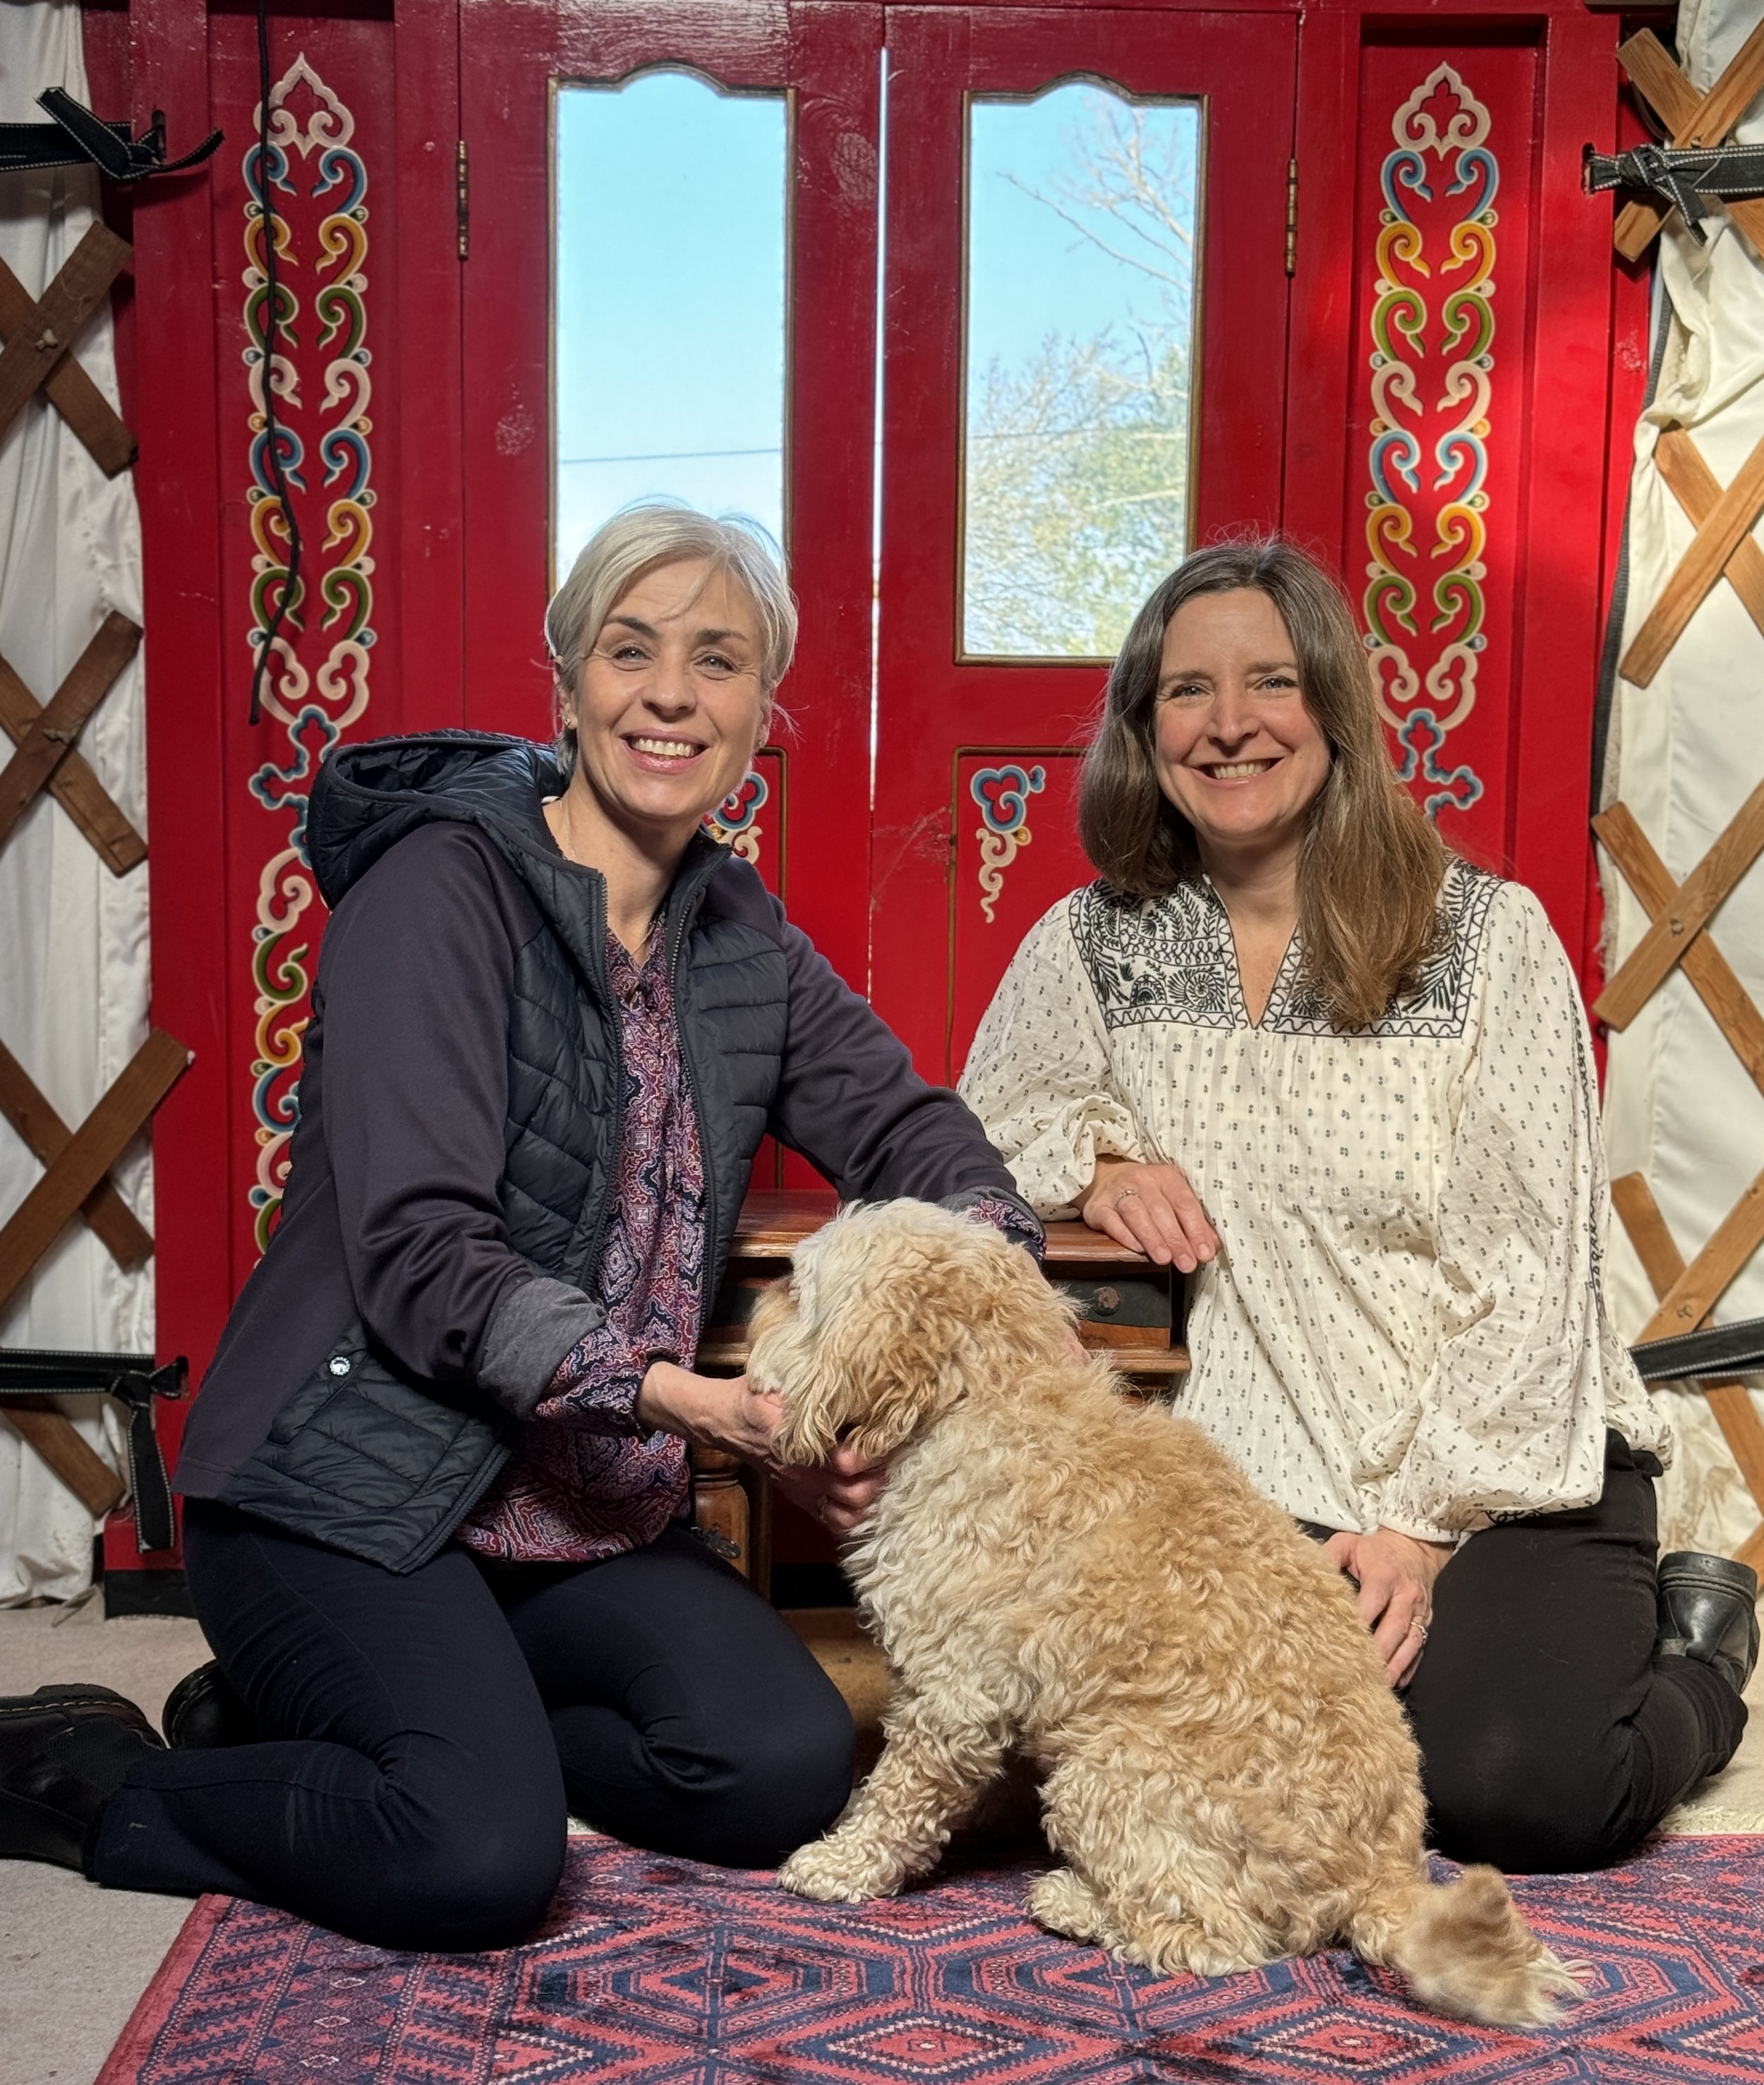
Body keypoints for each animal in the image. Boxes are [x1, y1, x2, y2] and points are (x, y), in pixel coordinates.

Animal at [754, 1201, 1584, 2026]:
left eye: (796, 1289)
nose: (757, 1295)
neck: (989, 1391)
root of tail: (1380, 1876)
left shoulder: (953, 1688)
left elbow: (903, 1796)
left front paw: (843, 1861)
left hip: (1108, 1773)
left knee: (1217, 1939)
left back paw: (1078, 1904)